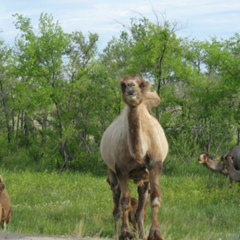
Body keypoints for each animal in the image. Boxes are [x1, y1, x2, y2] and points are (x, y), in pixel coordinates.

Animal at [100, 75, 169, 240]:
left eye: (142, 84)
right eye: (123, 85)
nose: (131, 86)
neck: (140, 153)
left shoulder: (155, 165)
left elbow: (155, 198)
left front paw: (155, 234)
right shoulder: (121, 169)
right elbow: (125, 202)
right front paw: (125, 233)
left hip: (143, 180)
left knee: (139, 210)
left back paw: (141, 234)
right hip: (112, 173)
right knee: (117, 202)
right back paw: (116, 233)